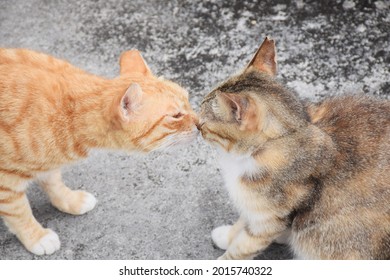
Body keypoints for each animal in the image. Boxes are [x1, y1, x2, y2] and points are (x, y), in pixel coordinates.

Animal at [0, 48, 198, 256]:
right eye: (176, 116)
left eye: (187, 99)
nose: (201, 123)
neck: (69, 117)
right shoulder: (6, 182)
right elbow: (19, 212)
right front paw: (36, 237)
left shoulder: (48, 164)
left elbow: (54, 182)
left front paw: (70, 200)